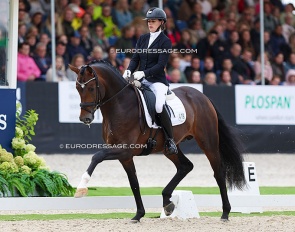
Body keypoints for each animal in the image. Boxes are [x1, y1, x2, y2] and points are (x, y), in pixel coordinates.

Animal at [69, 60, 245, 222]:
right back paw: (167, 202)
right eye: (77, 88)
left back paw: (225, 213)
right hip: (170, 148)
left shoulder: (125, 149)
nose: (85, 118)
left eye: (91, 88)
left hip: (208, 142)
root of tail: (201, 96)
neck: (120, 105)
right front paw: (139, 214)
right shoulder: (125, 156)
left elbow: (97, 156)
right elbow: (134, 183)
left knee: (219, 172)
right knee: (185, 166)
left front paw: (81, 188)